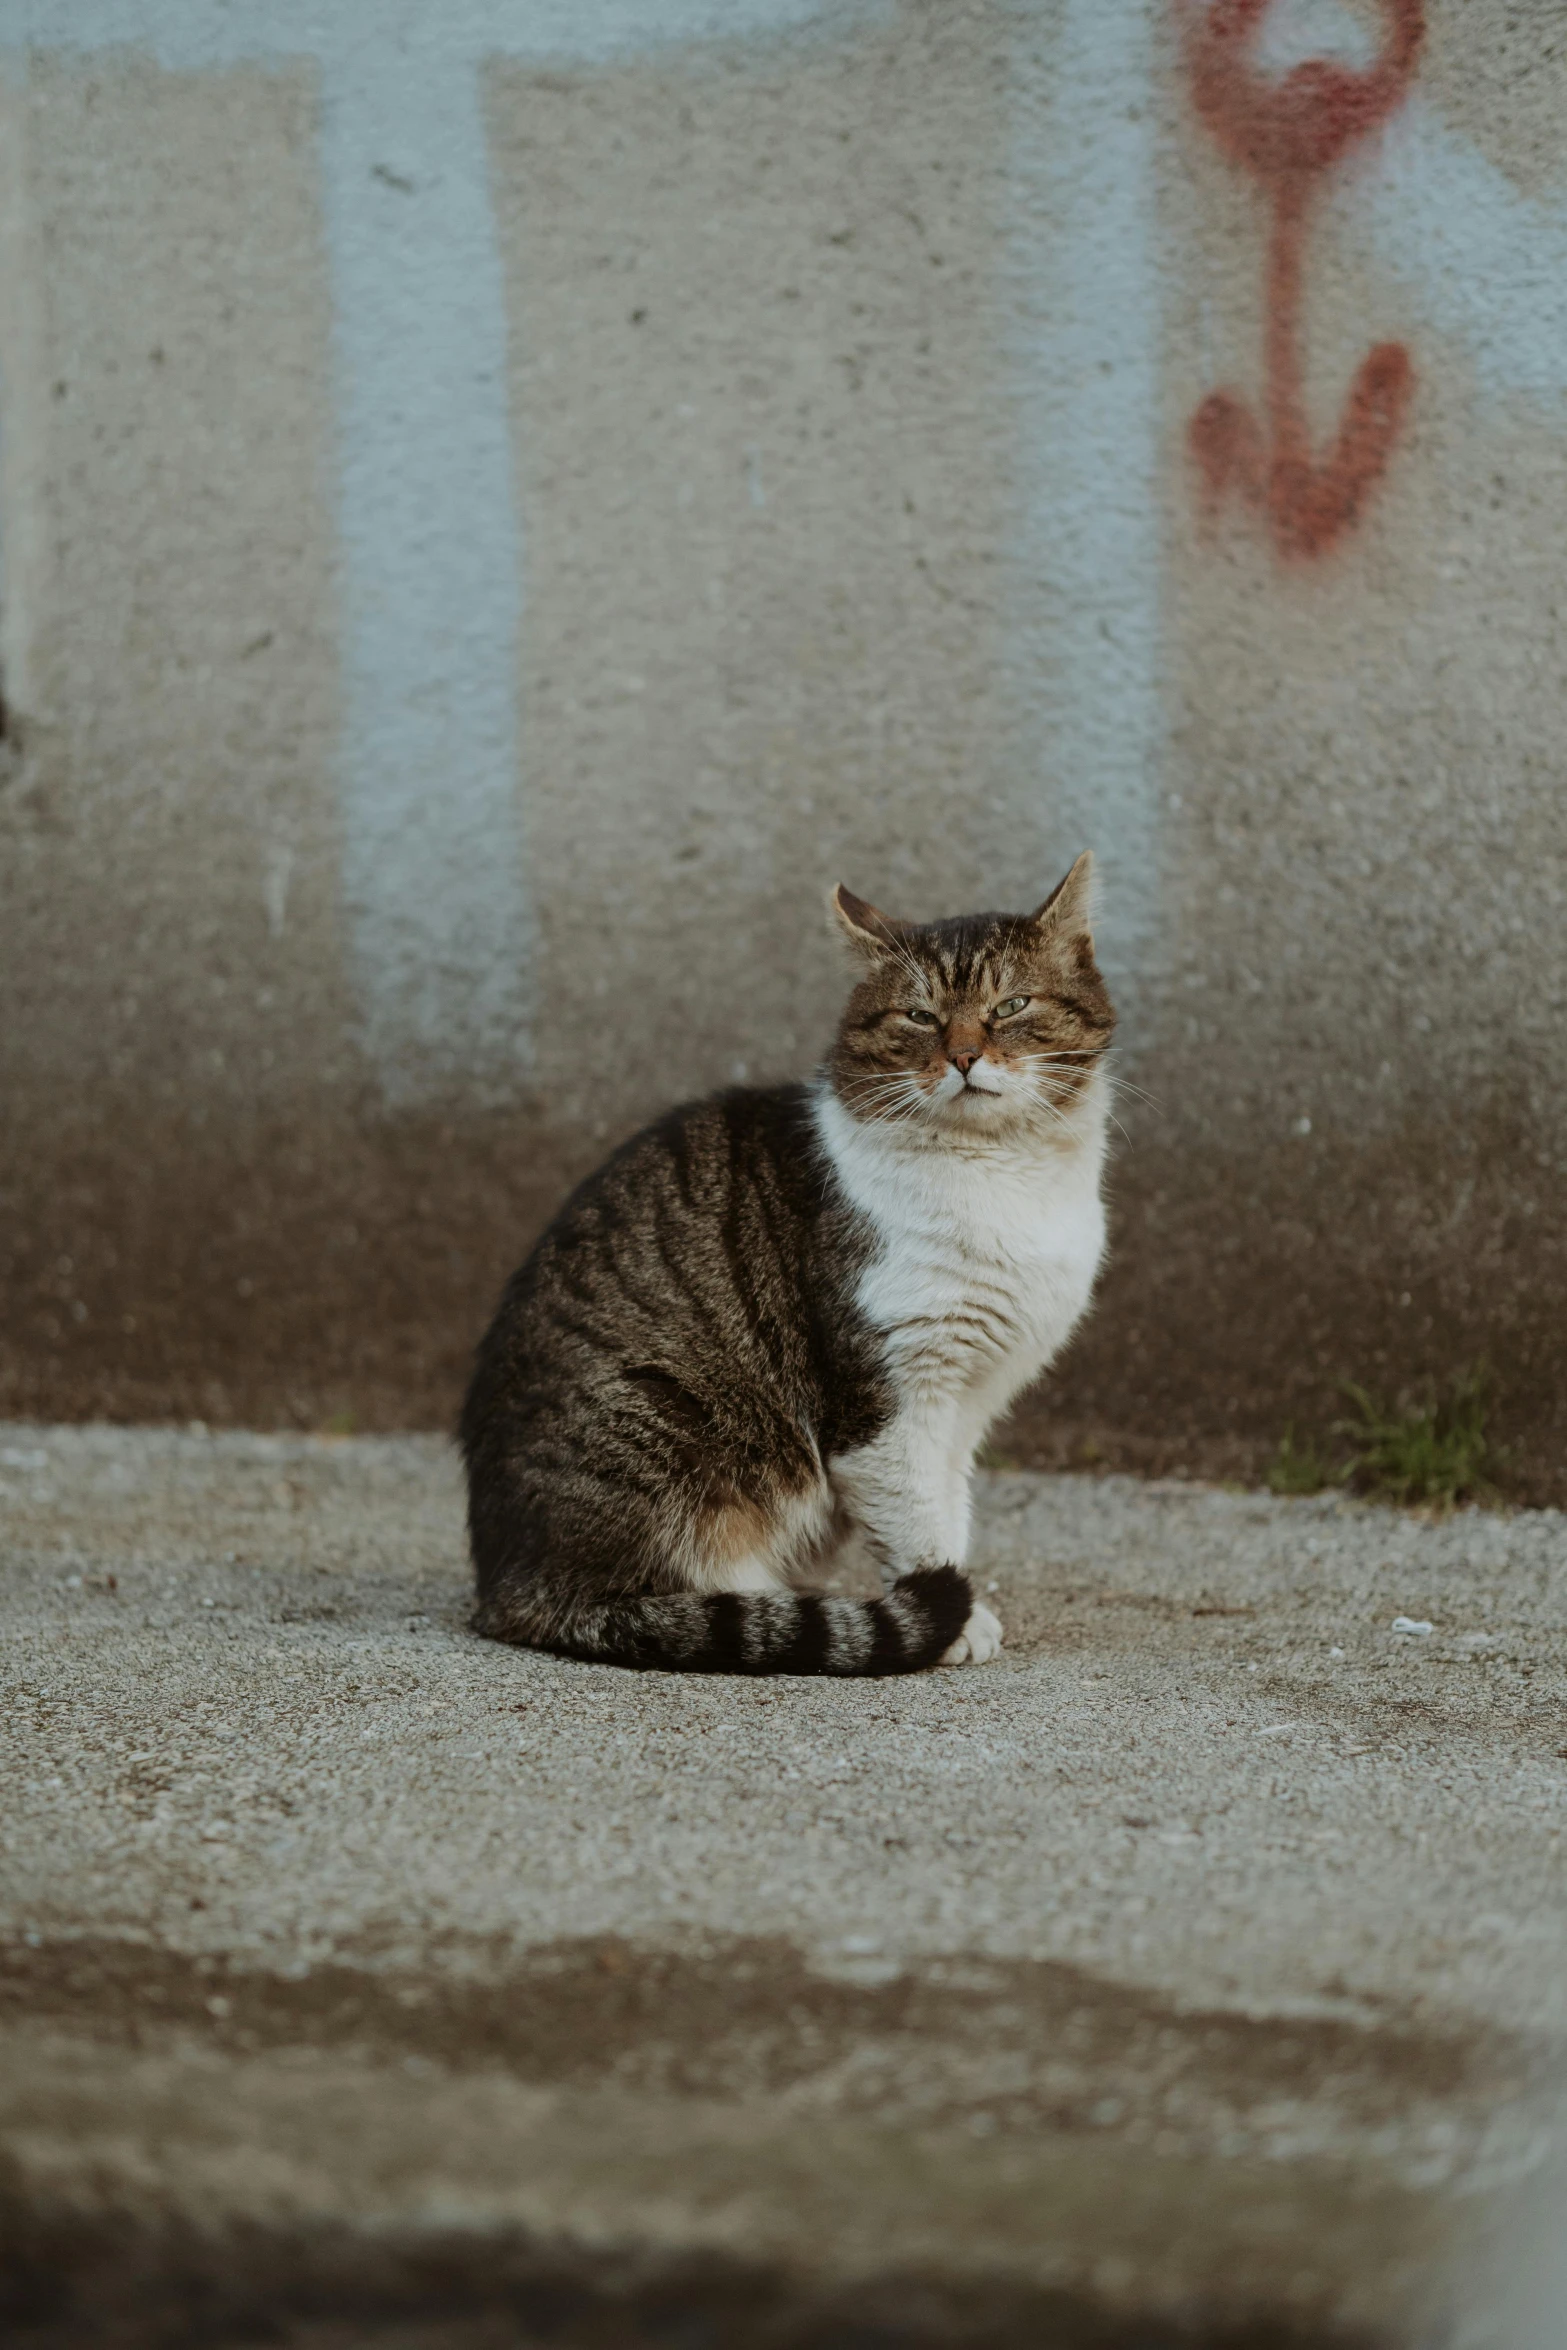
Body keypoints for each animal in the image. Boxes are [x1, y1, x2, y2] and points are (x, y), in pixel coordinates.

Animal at [462, 855, 1113, 1682]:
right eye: (919, 1017)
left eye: (1011, 1005)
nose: (964, 1056)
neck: (1003, 1176)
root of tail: (507, 1581)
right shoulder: (884, 1397)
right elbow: (917, 1522)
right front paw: (949, 1621)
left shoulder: (969, 1401)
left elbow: (949, 1506)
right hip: (667, 1418)